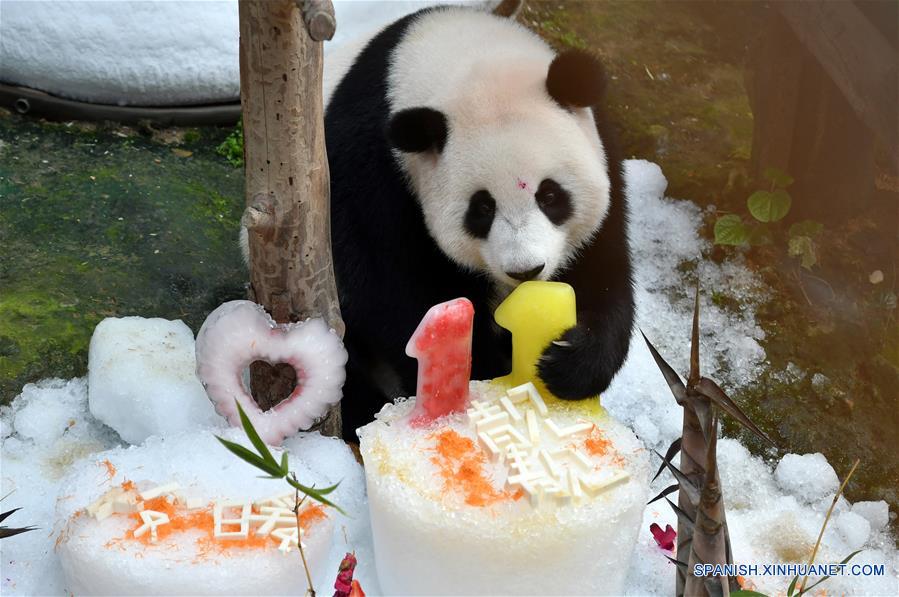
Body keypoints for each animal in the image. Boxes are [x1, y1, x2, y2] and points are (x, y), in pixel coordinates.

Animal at [323, 6, 634, 438]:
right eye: (482, 208)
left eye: (550, 196)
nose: (526, 270)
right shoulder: (370, 174)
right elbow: (388, 289)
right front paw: (481, 371)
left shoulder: (602, 149)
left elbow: (603, 269)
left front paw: (568, 362)